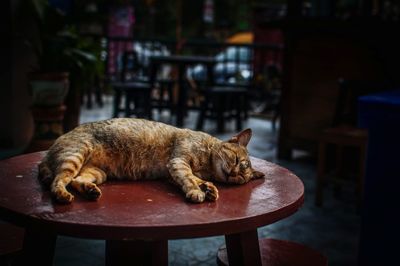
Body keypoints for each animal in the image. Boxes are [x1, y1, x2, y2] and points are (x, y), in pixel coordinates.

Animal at [39, 118, 266, 204]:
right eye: (235, 159)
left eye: (240, 179)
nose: (233, 174)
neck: (207, 164)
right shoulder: (178, 162)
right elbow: (190, 179)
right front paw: (197, 191)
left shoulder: (173, 173)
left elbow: (196, 179)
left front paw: (209, 188)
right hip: (75, 155)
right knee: (58, 181)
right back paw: (62, 195)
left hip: (97, 173)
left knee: (76, 180)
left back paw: (90, 191)